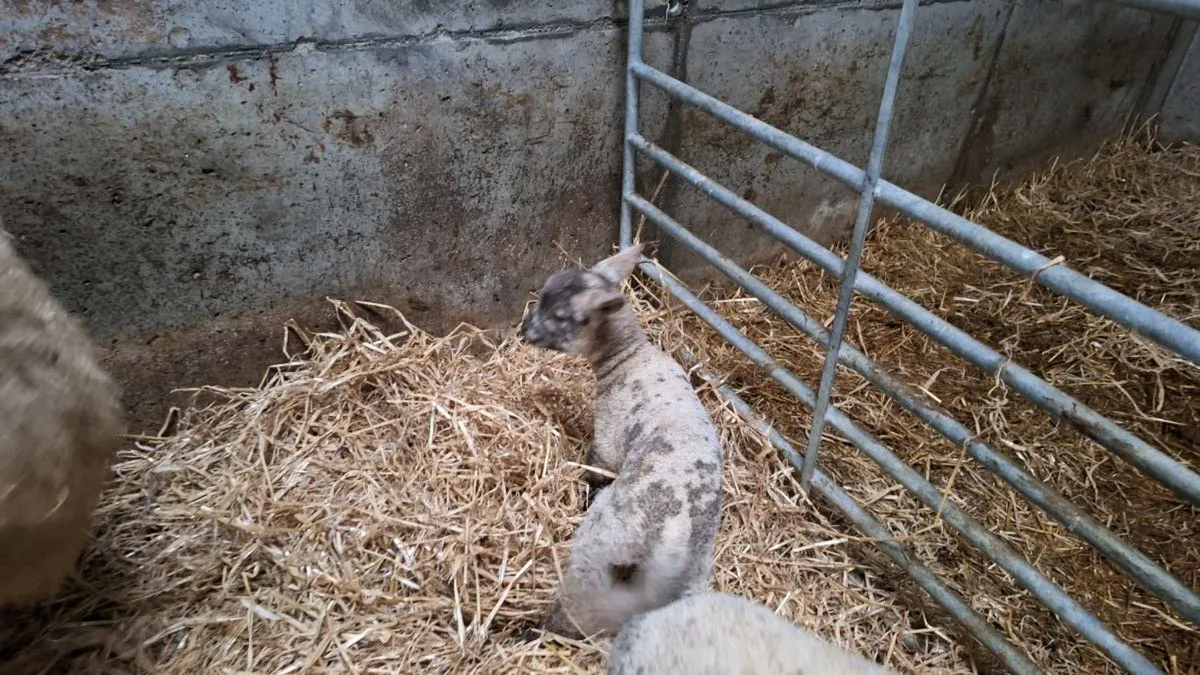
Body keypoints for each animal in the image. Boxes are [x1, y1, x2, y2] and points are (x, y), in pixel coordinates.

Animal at [520, 243, 724, 639]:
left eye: (562, 316)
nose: (523, 329)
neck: (629, 357)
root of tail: (674, 534)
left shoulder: (606, 443)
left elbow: (595, 469)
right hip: (697, 565)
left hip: (601, 544)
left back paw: (539, 630)